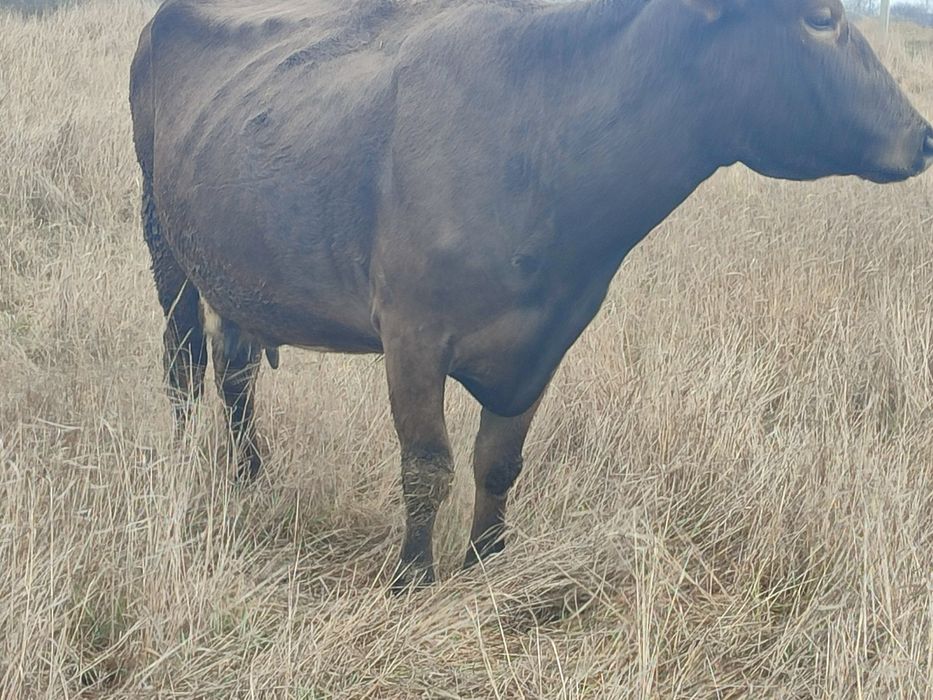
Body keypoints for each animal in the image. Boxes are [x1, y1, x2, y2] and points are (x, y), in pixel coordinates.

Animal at [130, 0, 933, 589]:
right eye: (820, 18)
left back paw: (250, 474)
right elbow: (426, 466)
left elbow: (497, 463)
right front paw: (413, 580)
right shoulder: (411, 333)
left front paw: (485, 565)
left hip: (237, 266)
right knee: (182, 363)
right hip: (164, 238)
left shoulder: (545, 340)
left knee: (235, 369)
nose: (922, 137)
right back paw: (187, 468)